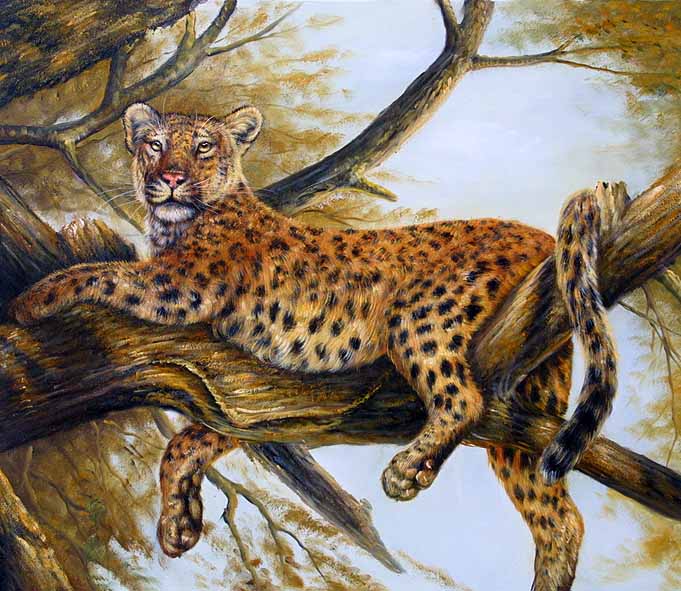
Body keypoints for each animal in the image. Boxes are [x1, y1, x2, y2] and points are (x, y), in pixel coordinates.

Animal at [10, 102, 619, 590]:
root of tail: (533, 231)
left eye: (204, 147)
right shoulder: (247, 399)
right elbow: (188, 441)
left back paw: (407, 470)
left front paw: (32, 298)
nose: (172, 177)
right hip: (527, 402)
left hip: (419, 318)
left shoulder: (179, 287)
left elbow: (106, 273)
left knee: (460, 399)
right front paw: (179, 523)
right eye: (154, 145)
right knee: (559, 516)